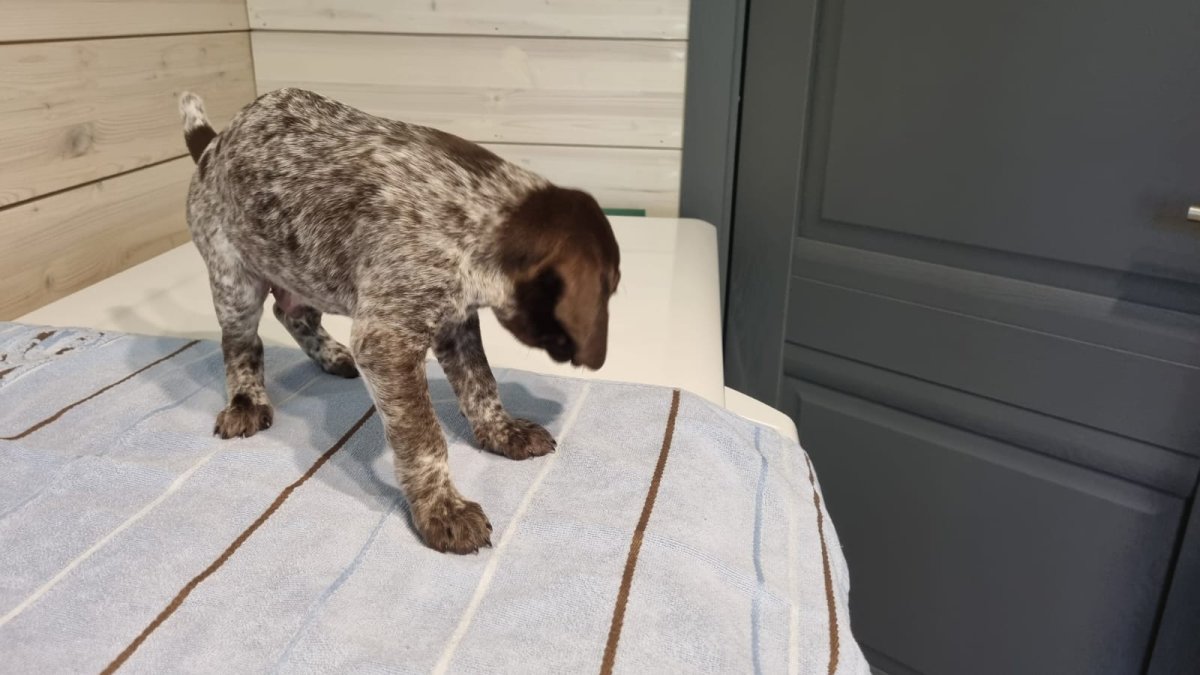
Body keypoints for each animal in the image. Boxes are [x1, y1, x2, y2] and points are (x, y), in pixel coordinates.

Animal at [178, 88, 620, 554]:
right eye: (609, 289)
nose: (597, 360)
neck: (486, 215)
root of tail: (212, 143)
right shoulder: (387, 342)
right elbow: (424, 438)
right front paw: (442, 508)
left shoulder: (455, 321)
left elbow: (481, 384)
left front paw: (502, 431)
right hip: (234, 277)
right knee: (241, 345)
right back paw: (246, 401)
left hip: (301, 268)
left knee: (291, 312)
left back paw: (330, 354)